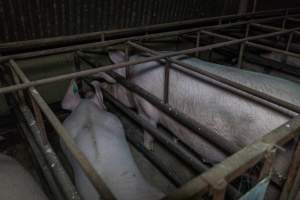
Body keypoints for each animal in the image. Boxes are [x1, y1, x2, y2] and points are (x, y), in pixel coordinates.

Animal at [107, 51, 300, 178]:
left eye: (114, 81)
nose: (107, 92)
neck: (133, 76)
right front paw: (175, 140)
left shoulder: (146, 106)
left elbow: (149, 129)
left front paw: (148, 148)